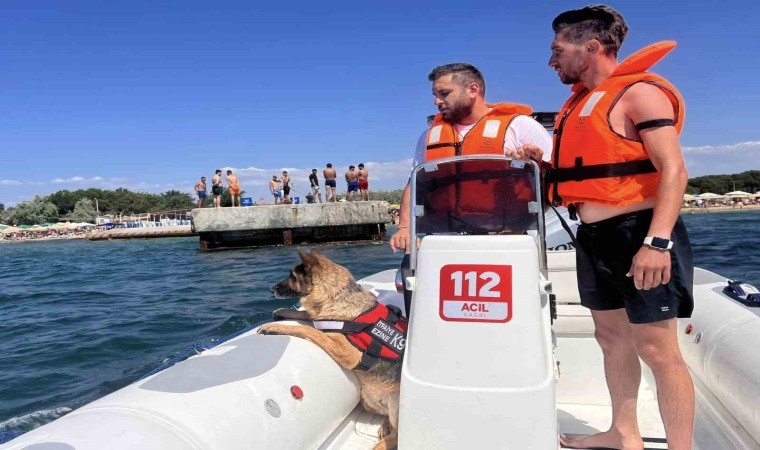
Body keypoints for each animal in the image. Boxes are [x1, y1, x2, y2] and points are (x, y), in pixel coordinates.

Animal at [258, 250, 404, 450]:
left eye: (292, 276)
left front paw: (275, 327)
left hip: (396, 400)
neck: (338, 297)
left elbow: (311, 330)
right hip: (367, 400)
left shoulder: (349, 354)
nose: (270, 289)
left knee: (397, 435)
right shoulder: (319, 315)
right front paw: (282, 312)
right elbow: (307, 314)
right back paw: (385, 425)